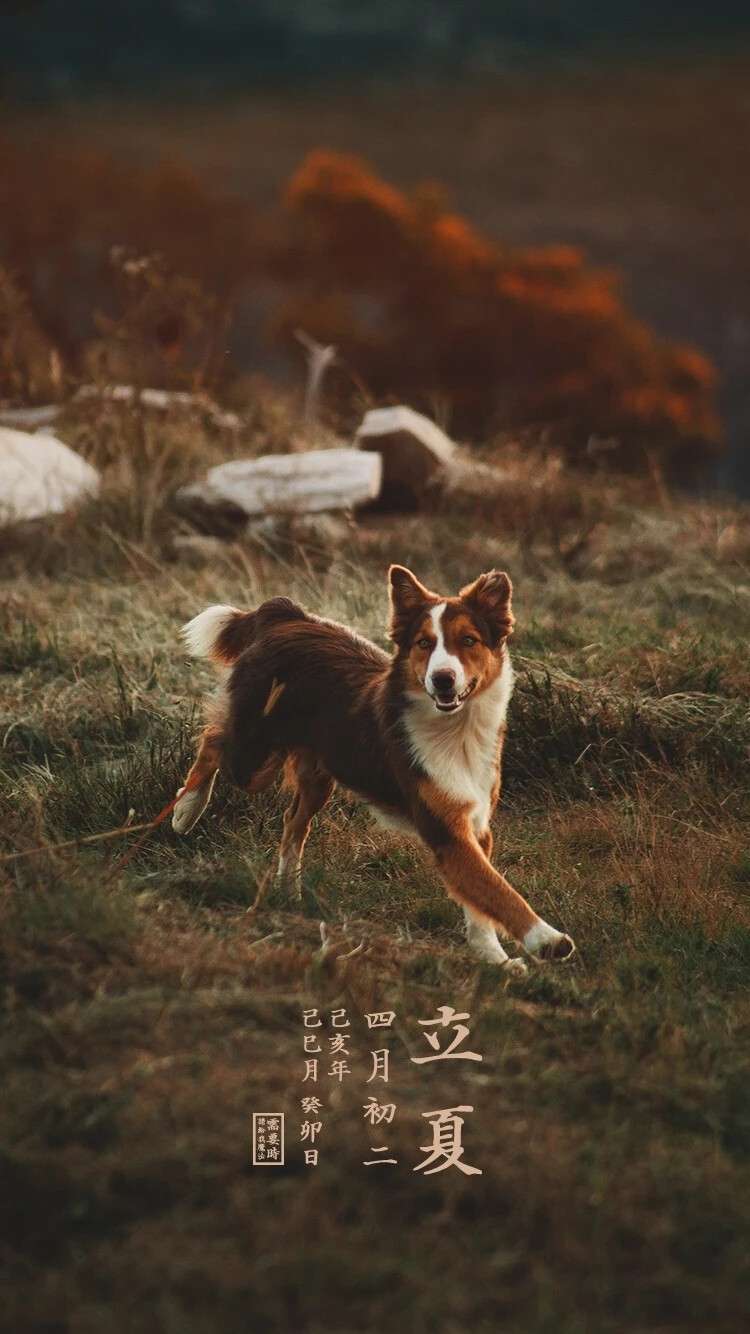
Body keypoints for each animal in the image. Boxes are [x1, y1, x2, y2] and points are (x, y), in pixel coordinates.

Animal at [172, 562, 573, 971]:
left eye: (468, 640)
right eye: (423, 643)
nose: (442, 679)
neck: (456, 730)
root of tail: (285, 616)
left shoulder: (475, 826)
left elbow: (482, 903)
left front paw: (493, 957)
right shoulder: (447, 830)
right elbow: (499, 891)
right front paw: (546, 939)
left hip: (318, 775)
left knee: (293, 821)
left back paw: (288, 890)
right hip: (254, 757)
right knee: (213, 741)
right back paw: (186, 811)